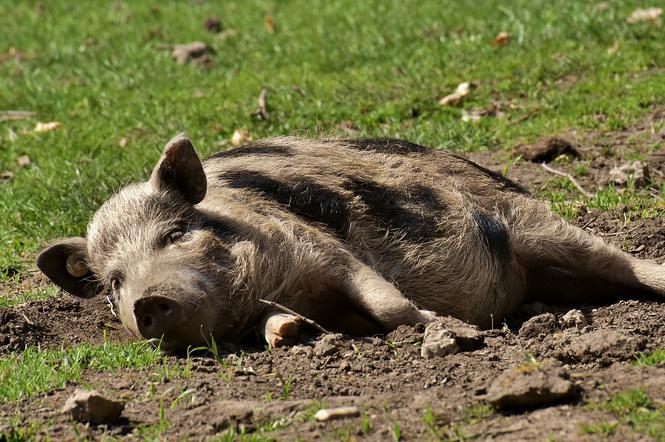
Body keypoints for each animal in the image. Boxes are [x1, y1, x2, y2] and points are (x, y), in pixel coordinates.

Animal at [36, 136, 664, 352]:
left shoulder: (322, 249)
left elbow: (386, 299)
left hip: (536, 224)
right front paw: (293, 334)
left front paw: (439, 325)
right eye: (113, 283)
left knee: (625, 263)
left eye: (175, 233)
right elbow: (276, 327)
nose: (146, 300)